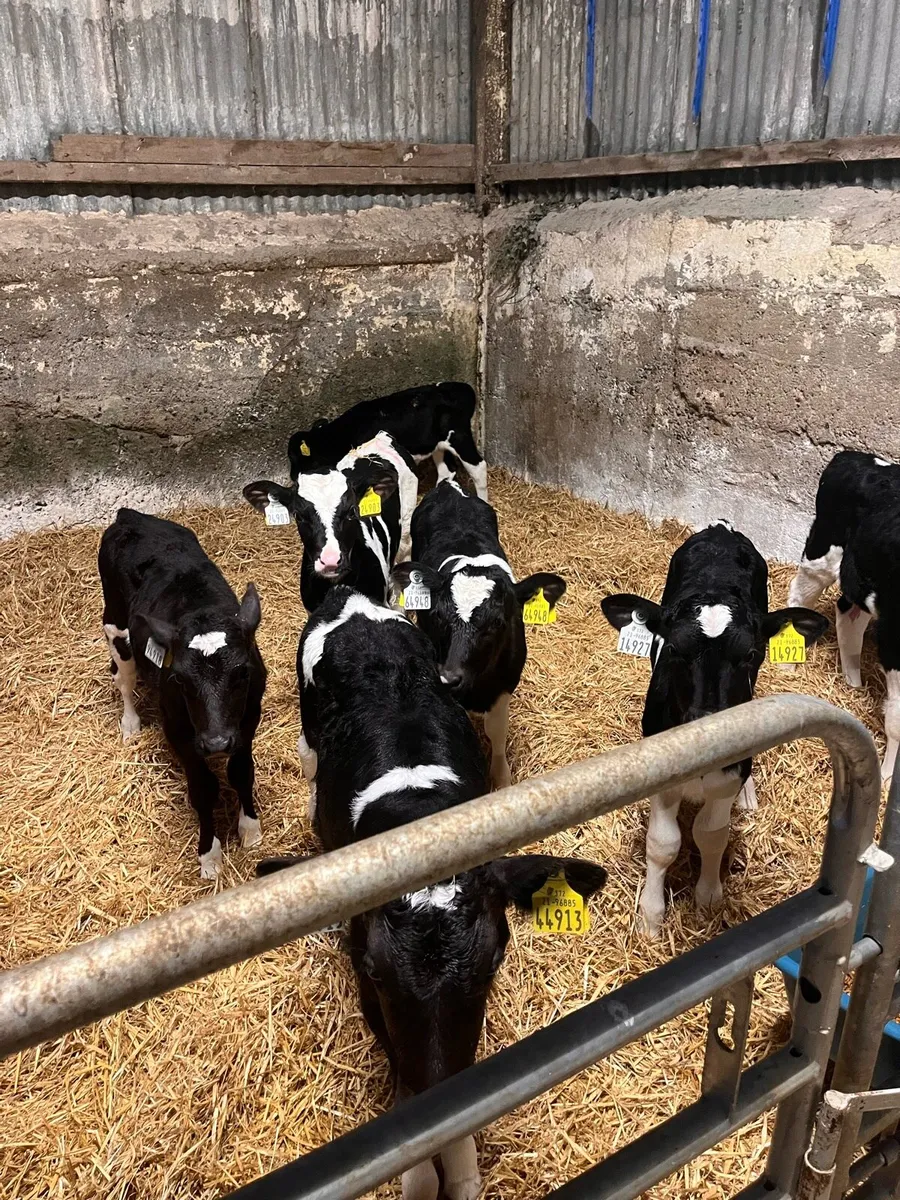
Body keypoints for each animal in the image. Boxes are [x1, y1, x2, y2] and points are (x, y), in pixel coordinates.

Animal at [98, 509, 267, 879]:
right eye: (179, 680)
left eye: (243, 673)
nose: (216, 743)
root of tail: (130, 516)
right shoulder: (179, 731)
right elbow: (203, 789)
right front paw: (210, 856)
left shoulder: (247, 720)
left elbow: (241, 772)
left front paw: (250, 830)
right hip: (115, 624)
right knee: (124, 680)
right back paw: (130, 724)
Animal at [287, 381, 488, 502]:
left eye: (294, 457)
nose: (292, 476)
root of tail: (456, 387)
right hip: (438, 445)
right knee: (447, 469)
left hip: (459, 437)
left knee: (478, 467)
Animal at [390, 480, 566, 790]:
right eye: (438, 616)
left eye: (498, 622)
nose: (449, 677)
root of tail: (449, 487)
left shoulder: (505, 685)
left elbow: (496, 731)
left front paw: (502, 777)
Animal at [602, 522, 828, 938]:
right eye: (673, 649)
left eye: (751, 654)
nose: (708, 726)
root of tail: (721, 529)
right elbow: (663, 843)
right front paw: (651, 916)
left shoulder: (728, 775)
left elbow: (710, 835)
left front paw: (708, 897)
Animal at [788, 451, 900, 783]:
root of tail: (853, 456)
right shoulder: (894, 639)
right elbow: (897, 721)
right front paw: (887, 778)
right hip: (823, 551)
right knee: (799, 595)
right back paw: (788, 666)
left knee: (847, 612)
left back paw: (853, 682)